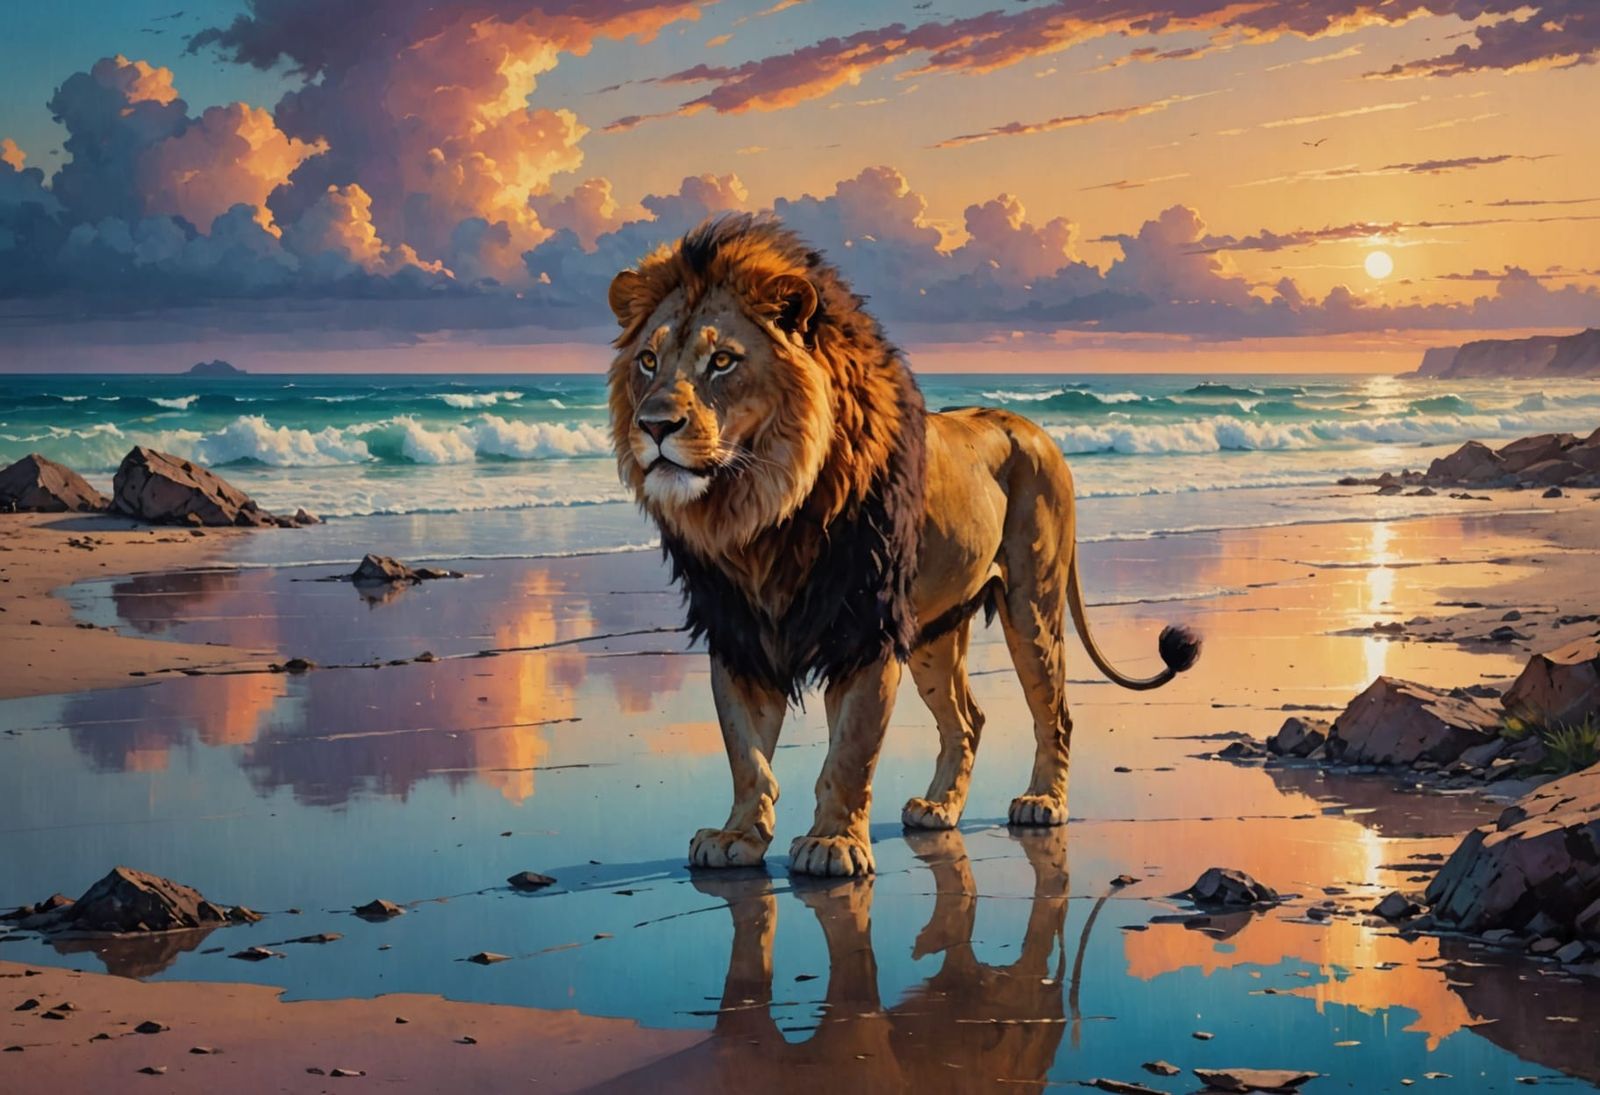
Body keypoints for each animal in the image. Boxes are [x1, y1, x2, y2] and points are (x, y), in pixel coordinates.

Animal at [606, 214, 1198, 878]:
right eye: (648, 360)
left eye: (724, 361)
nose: (654, 425)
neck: (763, 513)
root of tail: (1038, 430)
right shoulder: (739, 633)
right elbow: (746, 752)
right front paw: (737, 836)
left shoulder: (867, 629)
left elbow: (850, 752)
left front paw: (833, 843)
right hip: (935, 634)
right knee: (967, 720)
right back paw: (940, 808)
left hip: (1031, 606)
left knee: (1055, 711)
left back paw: (1043, 802)